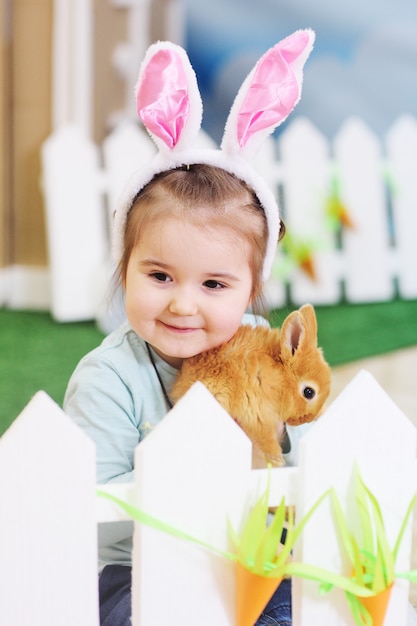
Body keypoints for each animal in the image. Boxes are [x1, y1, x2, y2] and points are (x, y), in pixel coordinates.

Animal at [171, 302, 330, 464]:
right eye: (309, 392)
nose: (307, 419)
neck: (280, 376)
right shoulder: (254, 410)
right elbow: (263, 436)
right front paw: (277, 458)